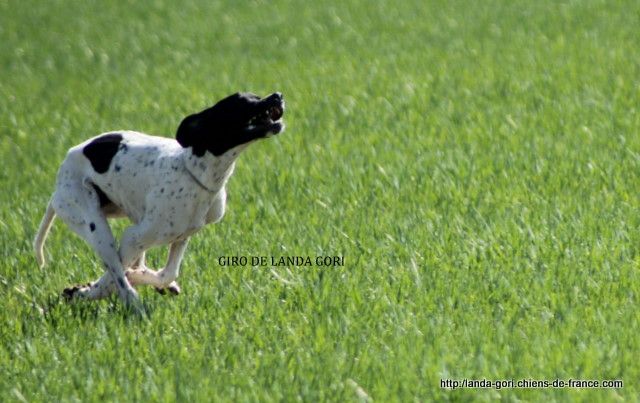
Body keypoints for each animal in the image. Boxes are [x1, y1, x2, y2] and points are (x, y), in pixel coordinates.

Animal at [33, 93, 284, 314]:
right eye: (241, 102)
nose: (277, 96)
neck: (194, 173)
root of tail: (58, 182)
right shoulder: (132, 237)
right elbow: (114, 278)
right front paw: (82, 292)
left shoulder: (181, 237)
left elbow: (167, 274)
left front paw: (142, 279)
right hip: (97, 229)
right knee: (118, 274)